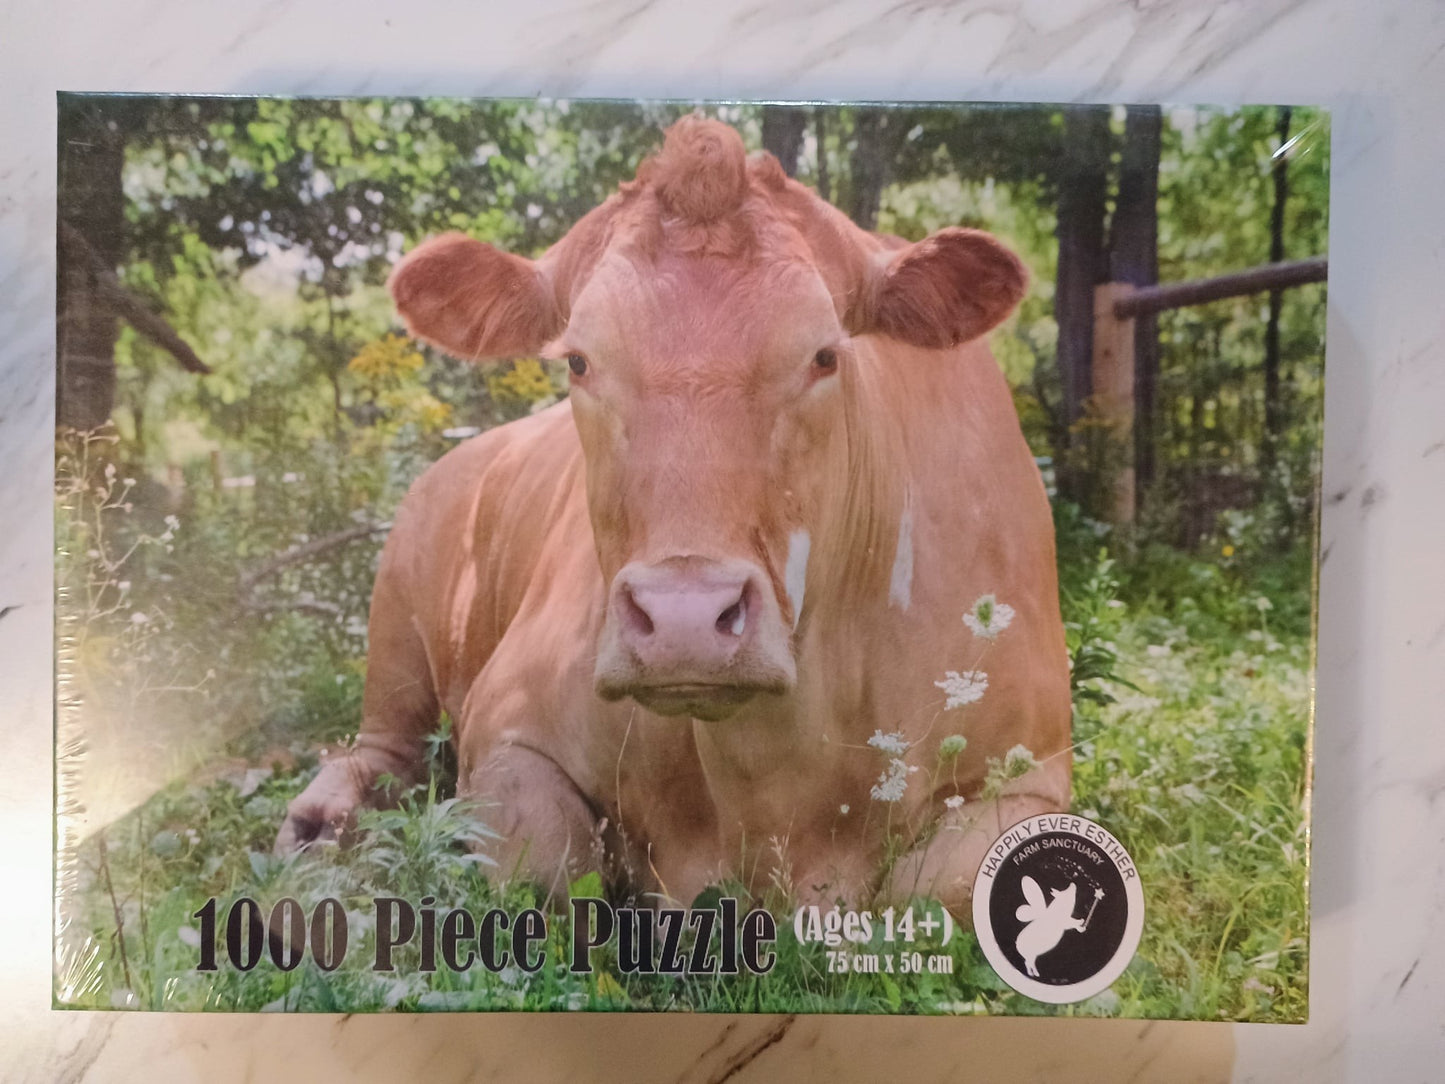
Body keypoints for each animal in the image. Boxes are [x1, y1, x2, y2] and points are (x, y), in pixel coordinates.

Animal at [275, 116, 1072, 918]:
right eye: (578, 361)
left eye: (824, 355)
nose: (684, 617)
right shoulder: (505, 732)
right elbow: (547, 870)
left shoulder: (1032, 768)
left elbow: (940, 889)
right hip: (397, 626)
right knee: (379, 755)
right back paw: (319, 827)